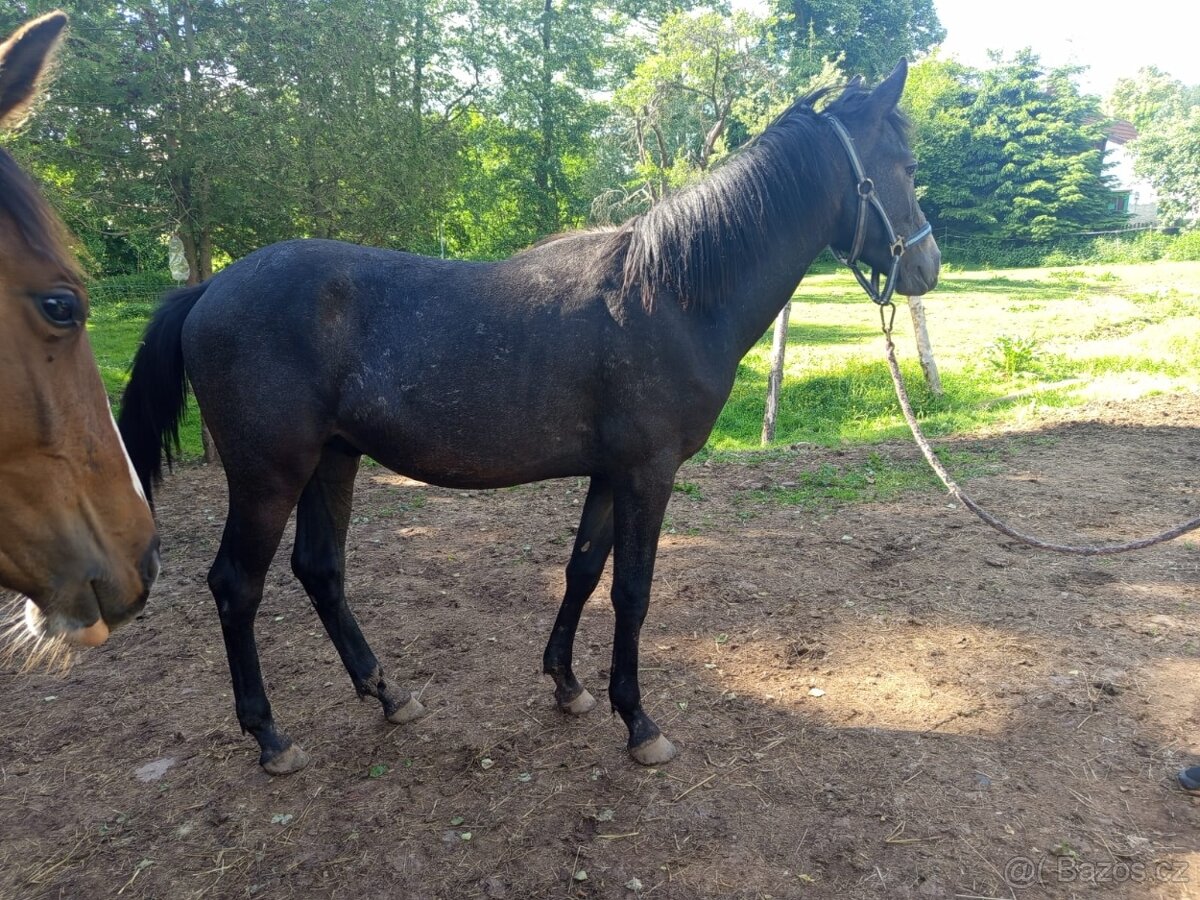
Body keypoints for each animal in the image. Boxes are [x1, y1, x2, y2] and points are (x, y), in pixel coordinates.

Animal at [119, 60, 939, 775]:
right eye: (904, 164)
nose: (927, 268)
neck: (671, 295)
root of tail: (208, 290)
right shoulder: (648, 473)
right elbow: (632, 591)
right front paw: (639, 723)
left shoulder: (612, 473)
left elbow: (582, 571)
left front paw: (568, 686)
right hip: (269, 475)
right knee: (237, 586)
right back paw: (270, 737)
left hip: (333, 460)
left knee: (320, 570)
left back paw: (388, 694)